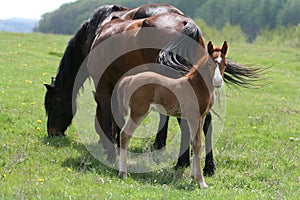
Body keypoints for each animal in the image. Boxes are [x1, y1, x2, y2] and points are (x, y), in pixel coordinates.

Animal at [116, 41, 227, 188]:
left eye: (225, 64)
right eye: (210, 63)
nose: (218, 81)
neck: (197, 85)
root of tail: (129, 79)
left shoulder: (201, 117)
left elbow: (193, 142)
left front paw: (193, 176)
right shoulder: (194, 116)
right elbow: (197, 144)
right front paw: (201, 181)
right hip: (139, 112)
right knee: (125, 134)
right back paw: (123, 173)